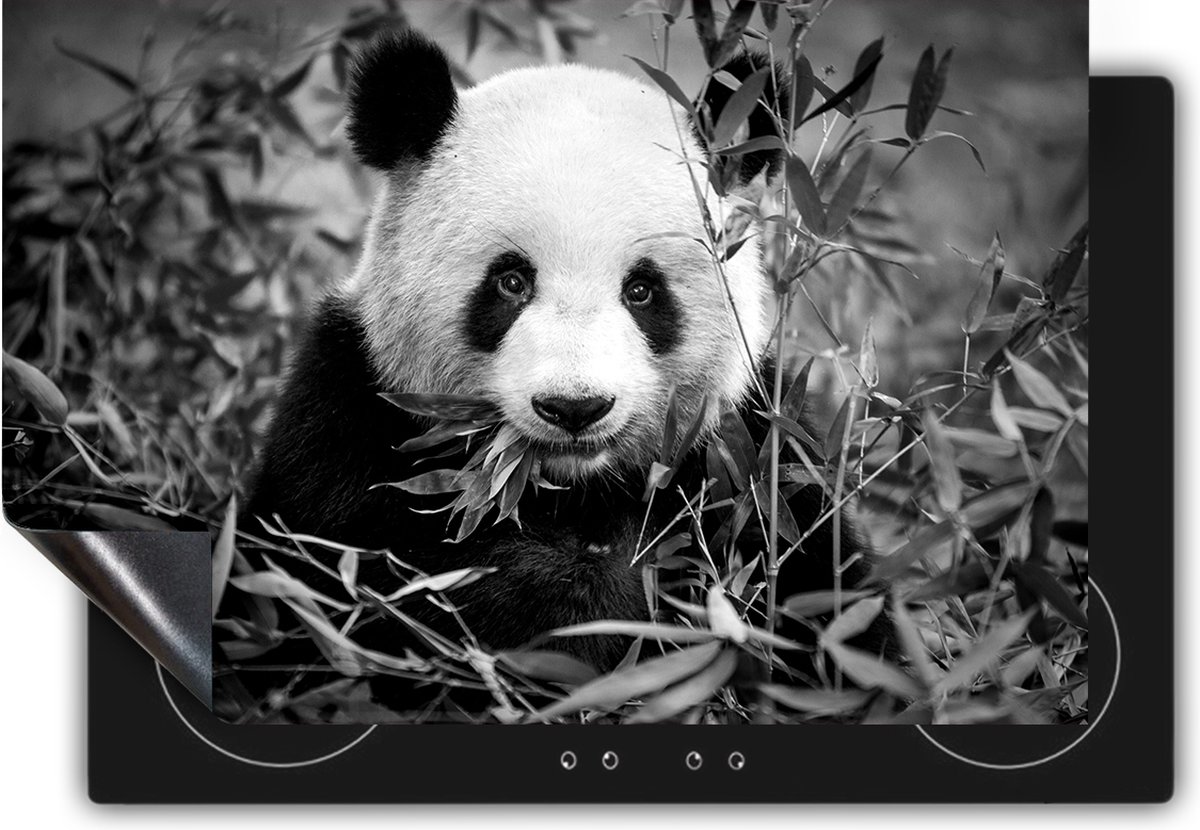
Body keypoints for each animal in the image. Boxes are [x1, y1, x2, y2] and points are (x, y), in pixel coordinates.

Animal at [242, 31, 882, 712]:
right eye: (510, 281)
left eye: (642, 290)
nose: (574, 407)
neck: (570, 489)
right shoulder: (348, 418)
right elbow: (337, 591)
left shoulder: (756, 454)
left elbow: (831, 618)